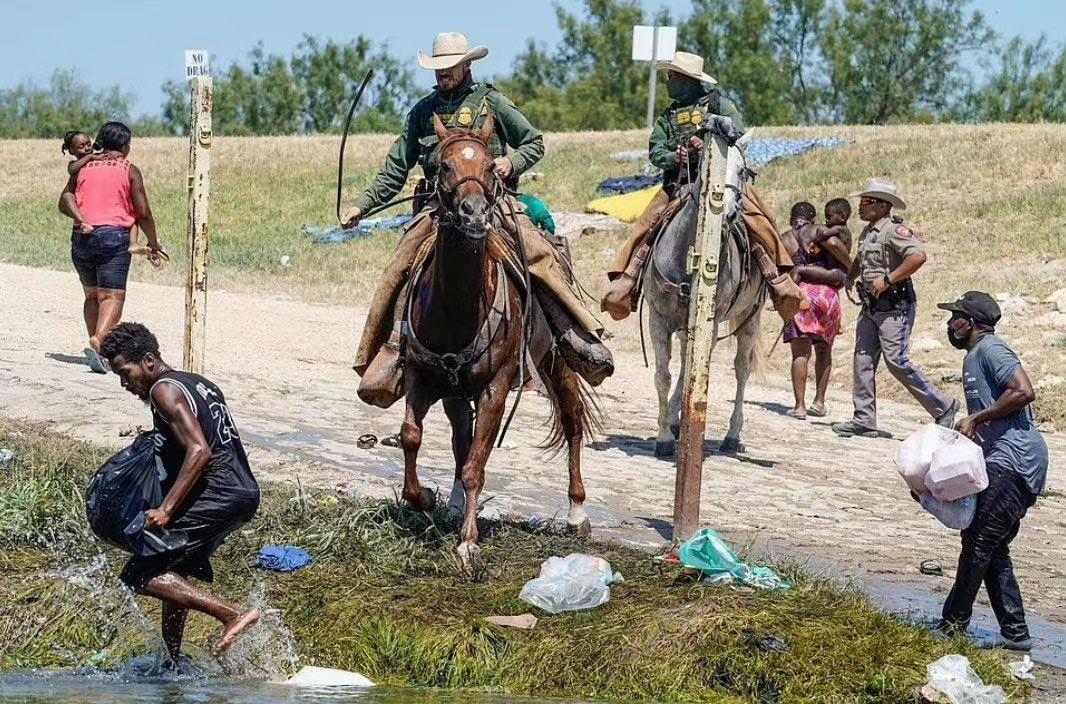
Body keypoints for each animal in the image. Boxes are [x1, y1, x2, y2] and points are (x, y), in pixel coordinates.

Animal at [400, 114, 601, 567]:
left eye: (491, 166)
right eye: (444, 166)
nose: (474, 214)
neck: (457, 308)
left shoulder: (495, 387)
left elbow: (477, 463)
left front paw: (468, 543)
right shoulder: (423, 377)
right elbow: (413, 437)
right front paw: (422, 499)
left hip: (556, 362)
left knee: (572, 420)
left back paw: (577, 512)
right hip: (457, 393)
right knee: (461, 439)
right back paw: (454, 503)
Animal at [639, 128, 767, 456]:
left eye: (743, 171)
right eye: (709, 167)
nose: (729, 214)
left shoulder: (712, 321)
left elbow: (695, 374)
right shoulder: (658, 318)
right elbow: (663, 376)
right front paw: (664, 436)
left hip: (750, 319)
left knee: (741, 369)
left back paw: (732, 435)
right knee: (687, 363)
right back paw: (675, 418)